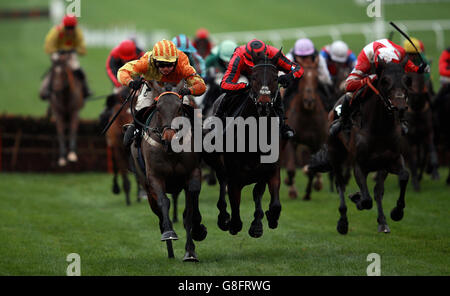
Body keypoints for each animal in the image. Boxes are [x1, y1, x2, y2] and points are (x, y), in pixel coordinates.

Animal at [130, 86, 207, 262]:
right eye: (158, 108)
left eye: (179, 108)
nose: (169, 137)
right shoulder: (155, 177)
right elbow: (164, 202)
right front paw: (169, 233)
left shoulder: (193, 174)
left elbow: (190, 212)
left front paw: (190, 250)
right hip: (147, 187)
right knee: (159, 213)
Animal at [284, 56, 326, 200]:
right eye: (301, 79)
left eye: (316, 77)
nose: (309, 101)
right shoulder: (291, 141)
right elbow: (291, 169)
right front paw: (292, 191)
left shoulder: (316, 142)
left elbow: (311, 169)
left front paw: (307, 194)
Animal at [320, 59, 412, 234]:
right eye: (385, 81)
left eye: (407, 80)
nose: (401, 107)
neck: (379, 129)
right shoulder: (359, 165)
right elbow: (367, 200)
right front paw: (357, 199)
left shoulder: (392, 160)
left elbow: (402, 177)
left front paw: (396, 213)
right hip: (335, 154)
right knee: (340, 184)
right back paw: (343, 222)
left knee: (377, 191)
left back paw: (382, 221)